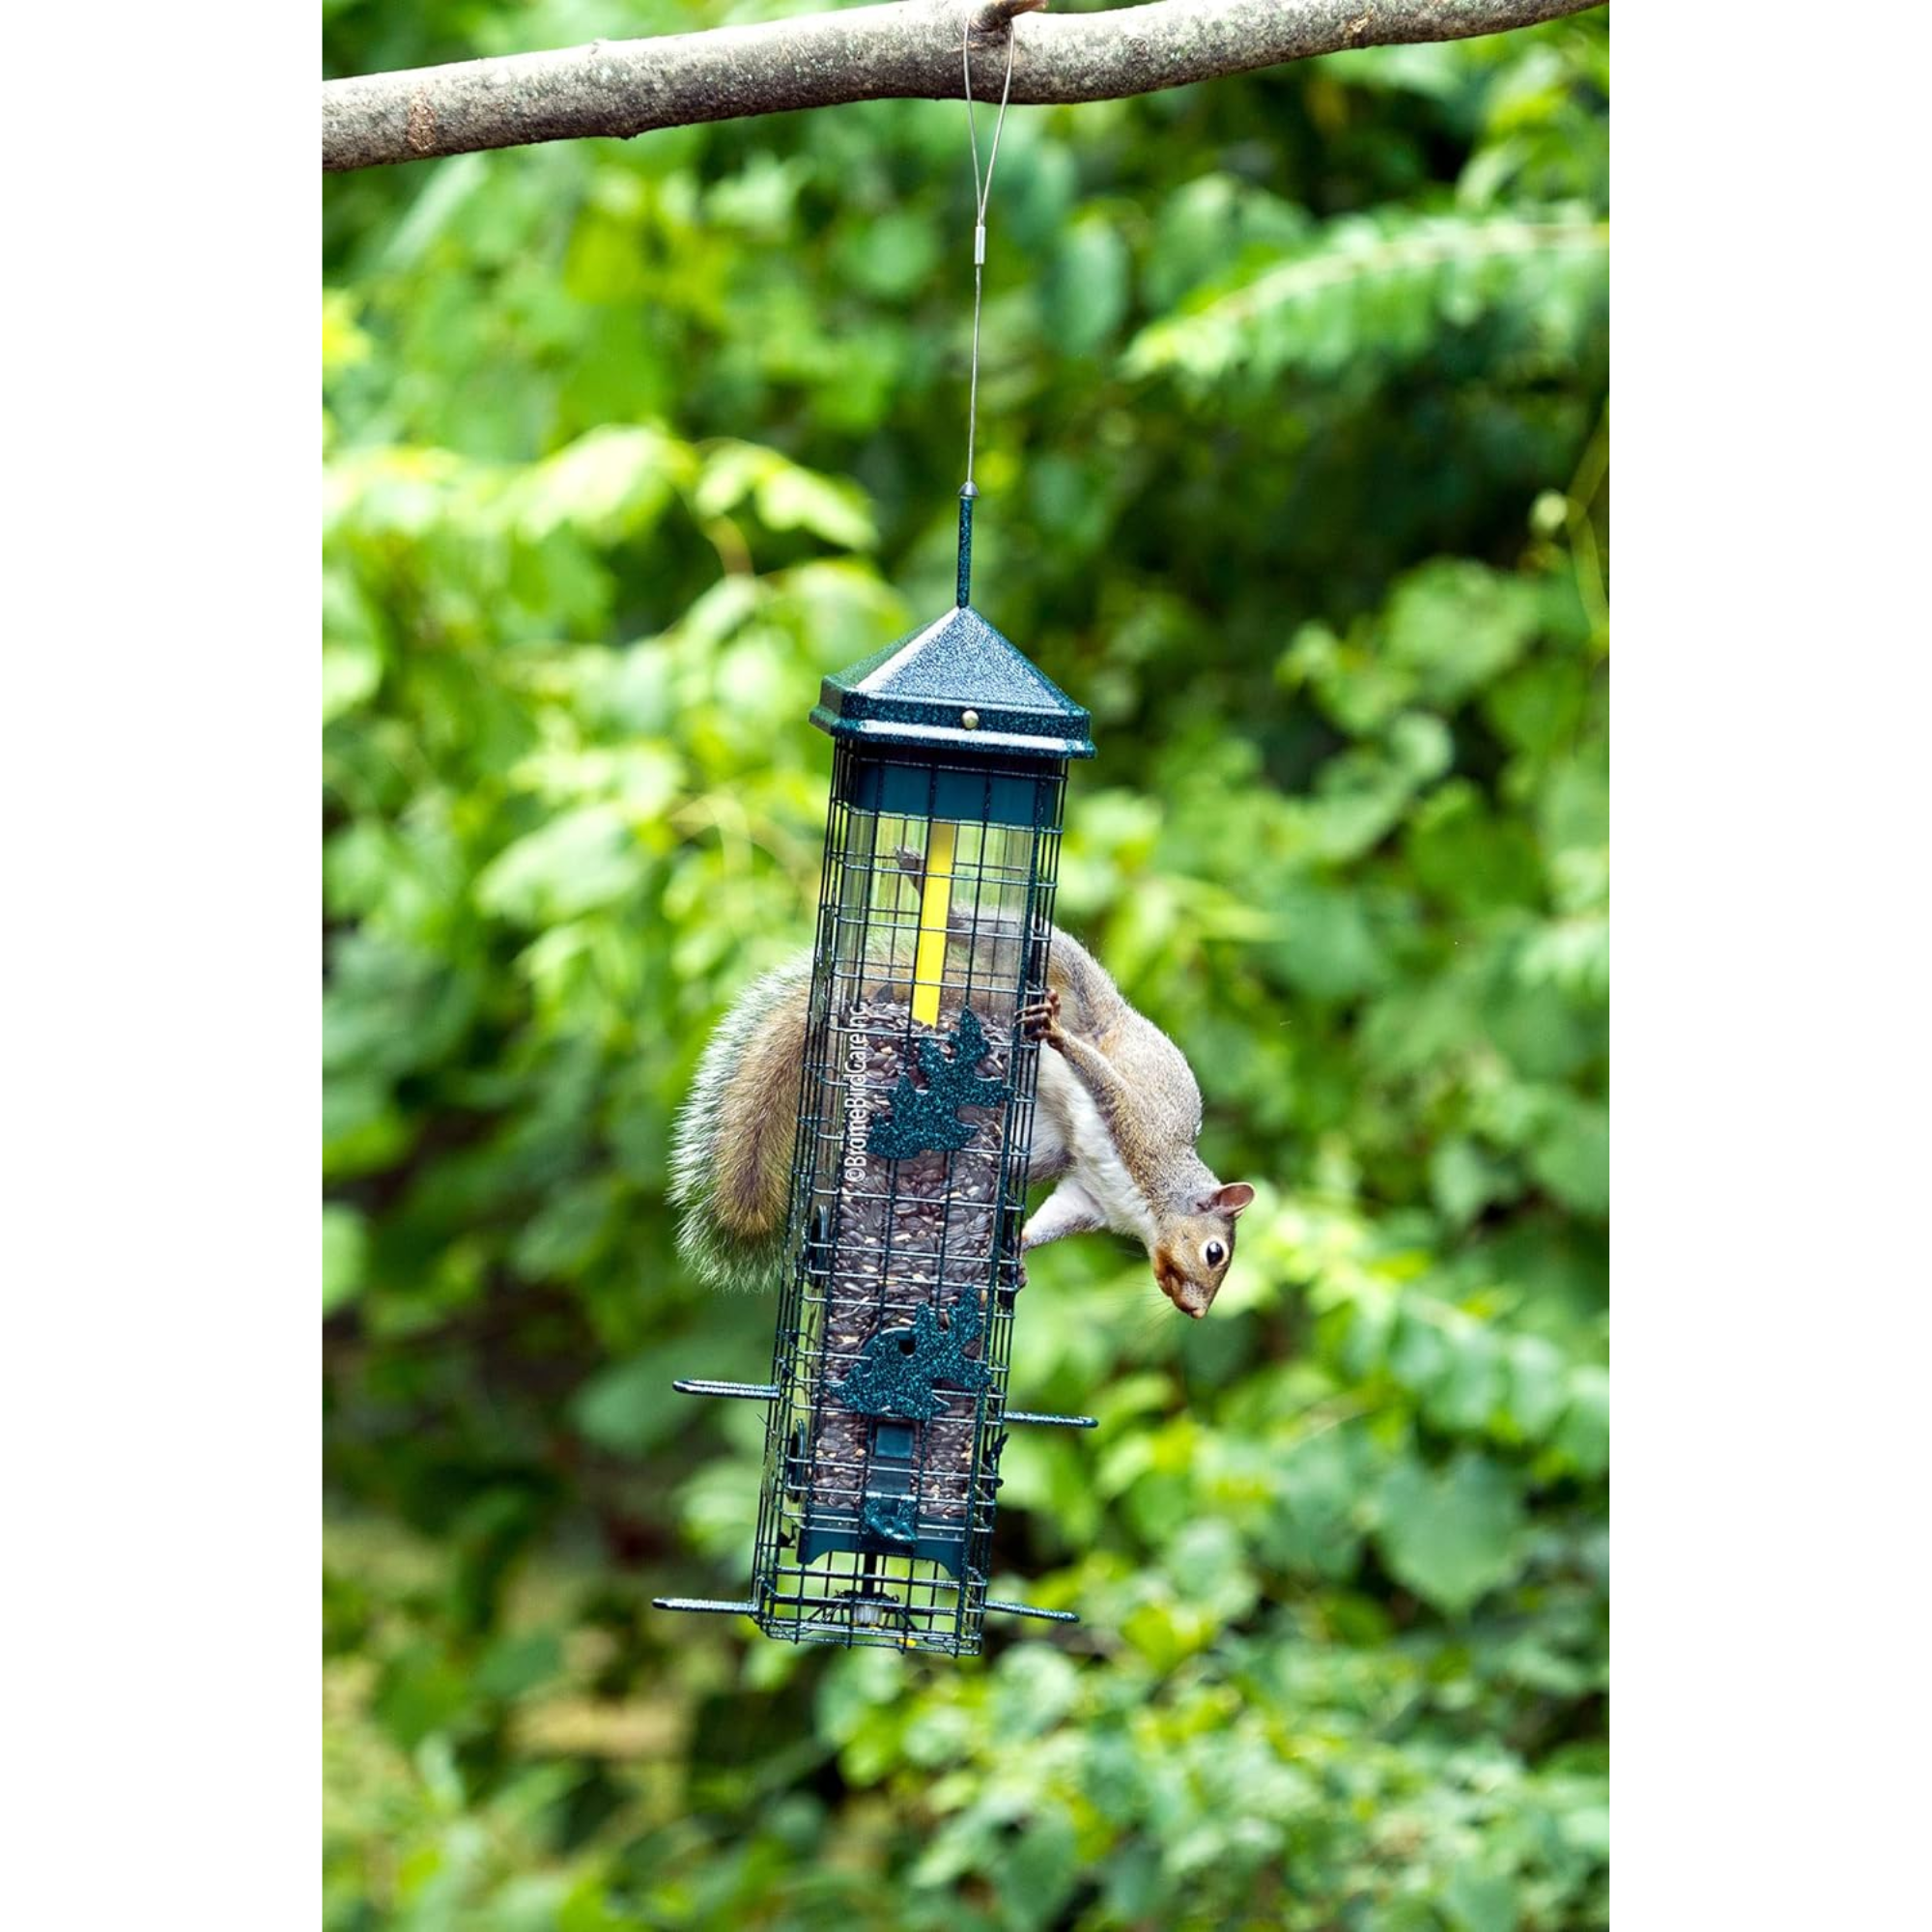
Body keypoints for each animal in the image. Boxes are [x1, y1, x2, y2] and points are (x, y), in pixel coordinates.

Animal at [670, 856, 1254, 1318]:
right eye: (1215, 1254)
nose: (1195, 1311)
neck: (1150, 1204)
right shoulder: (1137, 1129)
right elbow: (1103, 1081)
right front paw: (1057, 1037)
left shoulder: (1088, 1196)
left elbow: (1055, 1215)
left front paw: (1015, 1254)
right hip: (1067, 974)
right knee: (997, 935)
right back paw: (936, 896)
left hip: (1041, 1144)